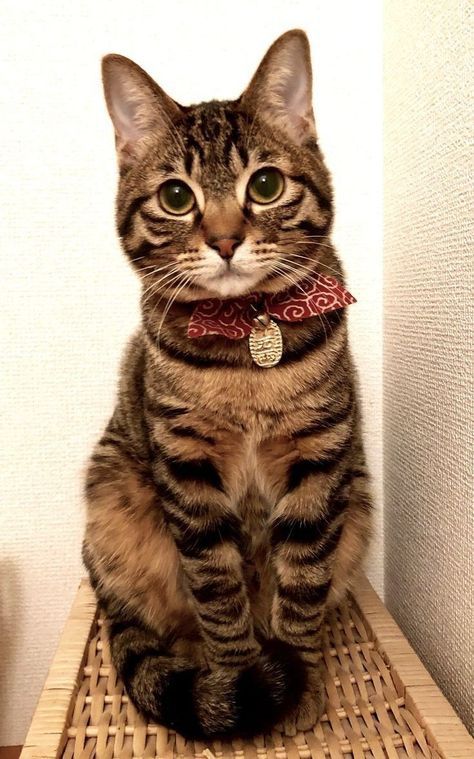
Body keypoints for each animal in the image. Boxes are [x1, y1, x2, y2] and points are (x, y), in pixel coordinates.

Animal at [82, 28, 374, 736]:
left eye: (264, 185)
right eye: (176, 197)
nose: (223, 240)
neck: (245, 340)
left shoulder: (320, 461)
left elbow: (301, 585)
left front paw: (300, 686)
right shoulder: (188, 470)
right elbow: (218, 591)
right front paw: (244, 680)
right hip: (112, 500)